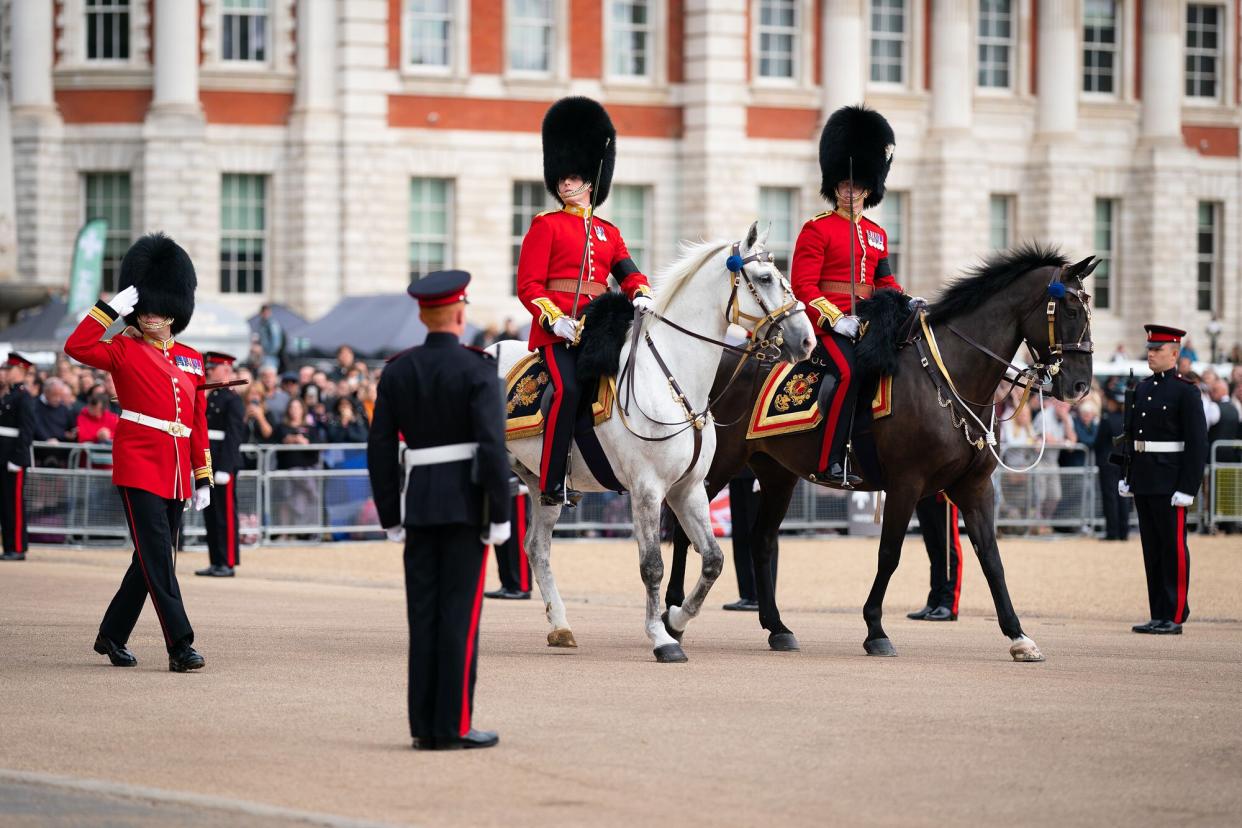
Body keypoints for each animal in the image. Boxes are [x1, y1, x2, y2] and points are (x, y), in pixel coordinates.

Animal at [489, 223, 819, 665]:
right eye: (766, 278)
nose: (807, 341)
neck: (673, 378)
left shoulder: (688, 489)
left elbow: (712, 560)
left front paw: (676, 619)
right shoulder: (647, 489)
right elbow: (652, 566)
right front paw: (661, 638)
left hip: (544, 484)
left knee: (537, 548)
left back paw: (560, 627)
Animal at [660, 244, 1097, 660]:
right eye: (1072, 308)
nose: (1079, 386)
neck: (949, 375)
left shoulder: (974, 487)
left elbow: (991, 558)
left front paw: (1019, 636)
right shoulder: (906, 483)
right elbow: (889, 554)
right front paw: (875, 629)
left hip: (776, 475)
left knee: (762, 540)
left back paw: (777, 627)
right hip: (717, 467)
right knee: (686, 530)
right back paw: (673, 612)